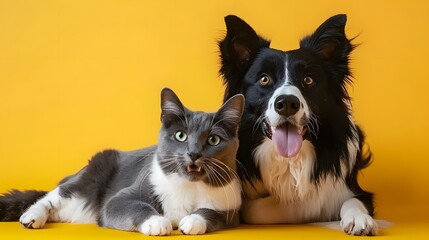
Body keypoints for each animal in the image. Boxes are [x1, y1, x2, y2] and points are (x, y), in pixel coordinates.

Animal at [0, 87, 244, 234]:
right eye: (180, 136)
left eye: (213, 139)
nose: (193, 153)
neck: (189, 187)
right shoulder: (128, 193)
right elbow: (127, 204)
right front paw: (157, 222)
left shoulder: (231, 208)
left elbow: (212, 213)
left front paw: (192, 221)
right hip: (93, 173)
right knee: (53, 196)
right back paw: (32, 216)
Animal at [219, 14, 376, 235]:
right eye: (264, 79)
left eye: (308, 80)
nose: (286, 103)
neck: (289, 160)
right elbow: (263, 208)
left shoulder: (357, 191)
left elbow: (349, 201)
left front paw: (358, 218)